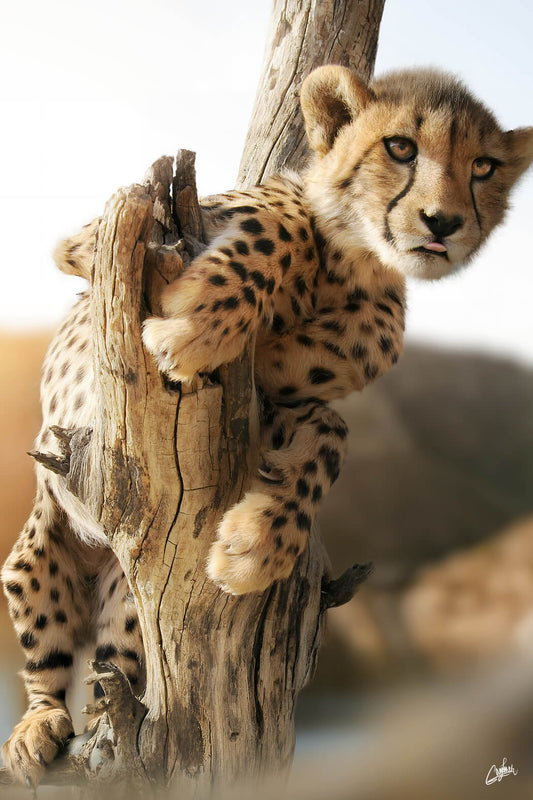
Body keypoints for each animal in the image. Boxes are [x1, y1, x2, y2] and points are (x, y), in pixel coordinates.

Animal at [2, 65, 532, 786]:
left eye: (483, 167)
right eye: (399, 148)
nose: (443, 223)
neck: (352, 260)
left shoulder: (284, 405)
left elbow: (340, 412)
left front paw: (258, 544)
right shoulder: (96, 238)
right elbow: (279, 223)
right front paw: (196, 321)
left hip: (127, 605)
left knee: (115, 677)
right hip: (33, 563)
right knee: (47, 669)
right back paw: (34, 730)